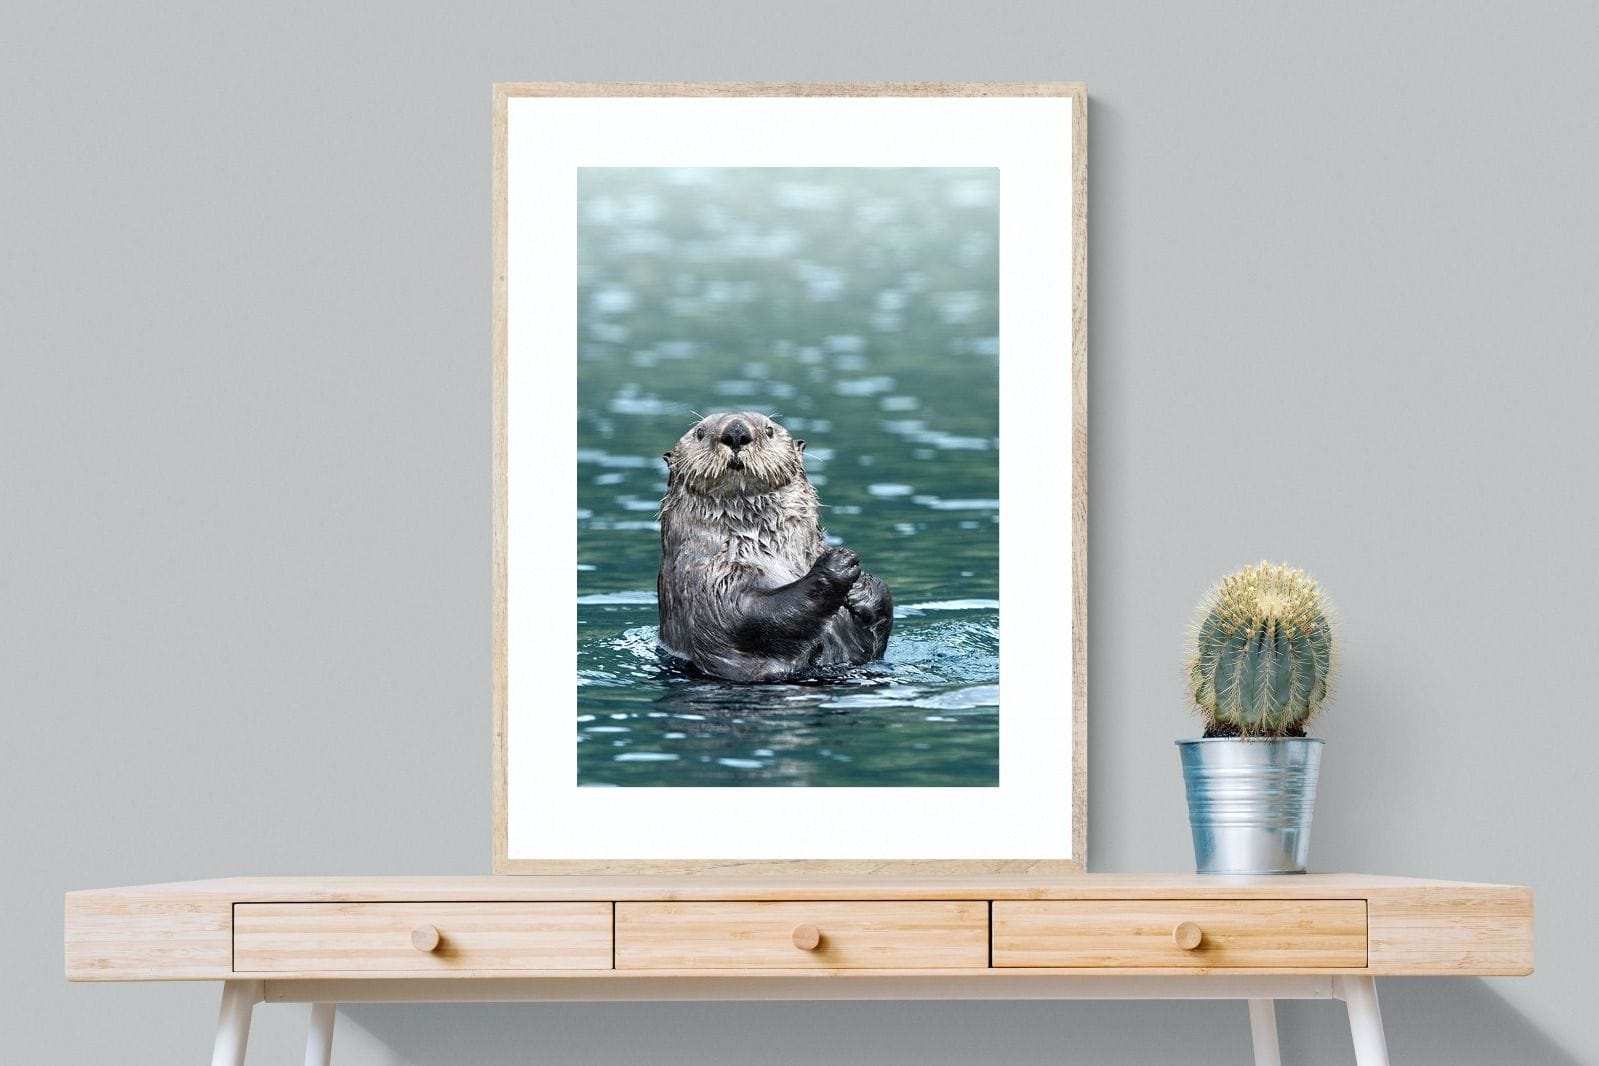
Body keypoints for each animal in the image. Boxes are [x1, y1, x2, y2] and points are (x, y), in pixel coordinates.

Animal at [656, 411, 894, 682]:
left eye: (768, 430)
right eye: (700, 432)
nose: (736, 432)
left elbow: (871, 644)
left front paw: (864, 587)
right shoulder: (706, 581)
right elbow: (746, 614)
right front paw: (837, 563)